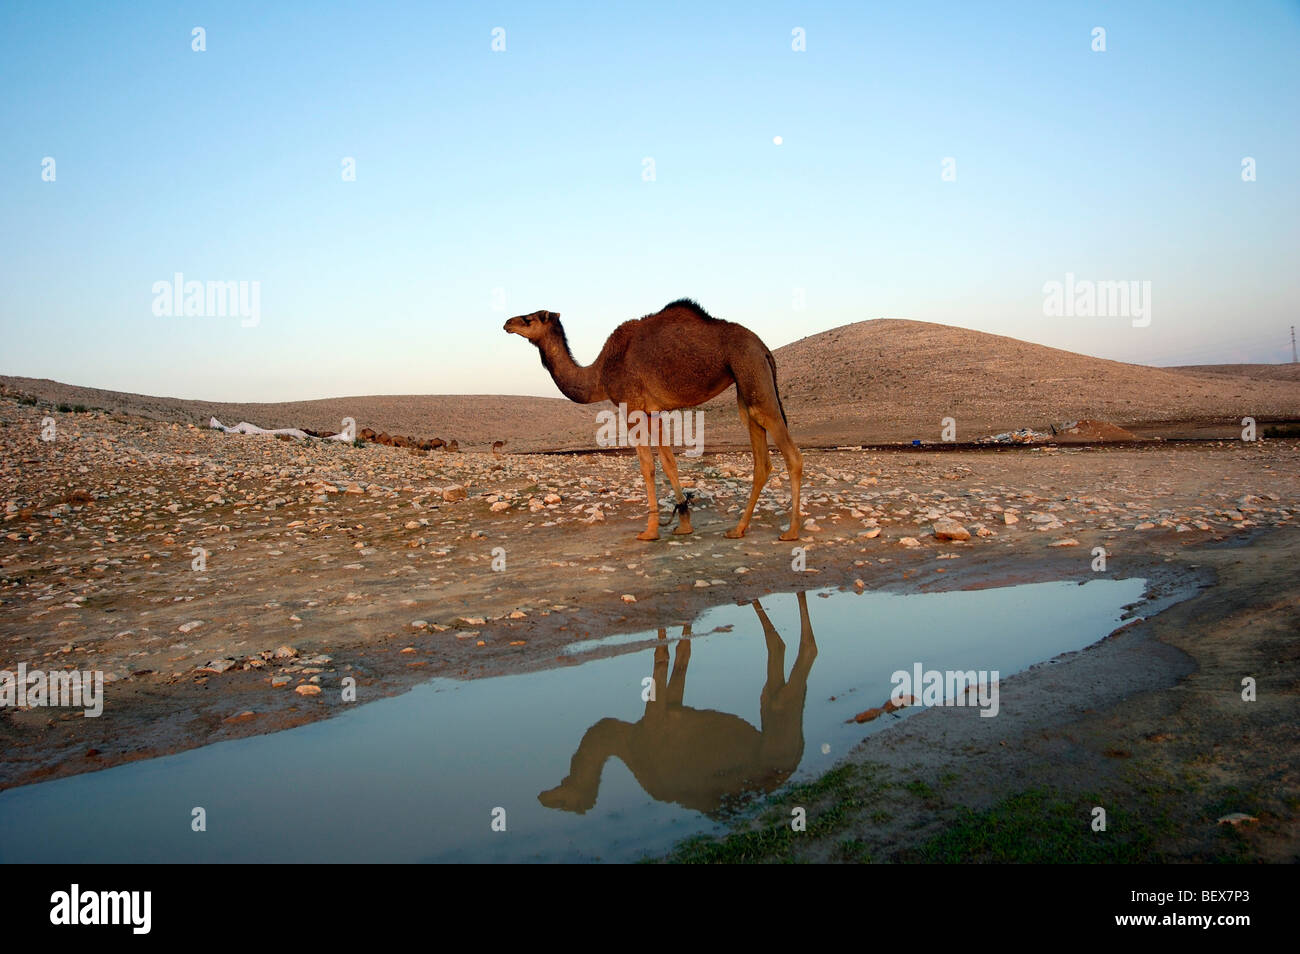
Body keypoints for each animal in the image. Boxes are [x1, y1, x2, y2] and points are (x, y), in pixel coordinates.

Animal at [504, 299, 802, 540]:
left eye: (530, 318)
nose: (507, 322)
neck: (599, 374)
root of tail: (764, 348)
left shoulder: (631, 406)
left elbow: (646, 466)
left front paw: (649, 531)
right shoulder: (653, 411)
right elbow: (669, 462)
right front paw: (683, 523)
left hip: (751, 369)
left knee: (789, 451)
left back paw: (791, 532)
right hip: (746, 384)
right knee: (760, 456)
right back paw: (738, 529)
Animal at [538, 592, 818, 815]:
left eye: (564, 803)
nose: (543, 797)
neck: (629, 741)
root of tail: (796, 758)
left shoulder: (653, 727)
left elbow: (662, 656)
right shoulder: (671, 707)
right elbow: (683, 653)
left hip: (778, 741)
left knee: (784, 682)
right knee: (776, 674)